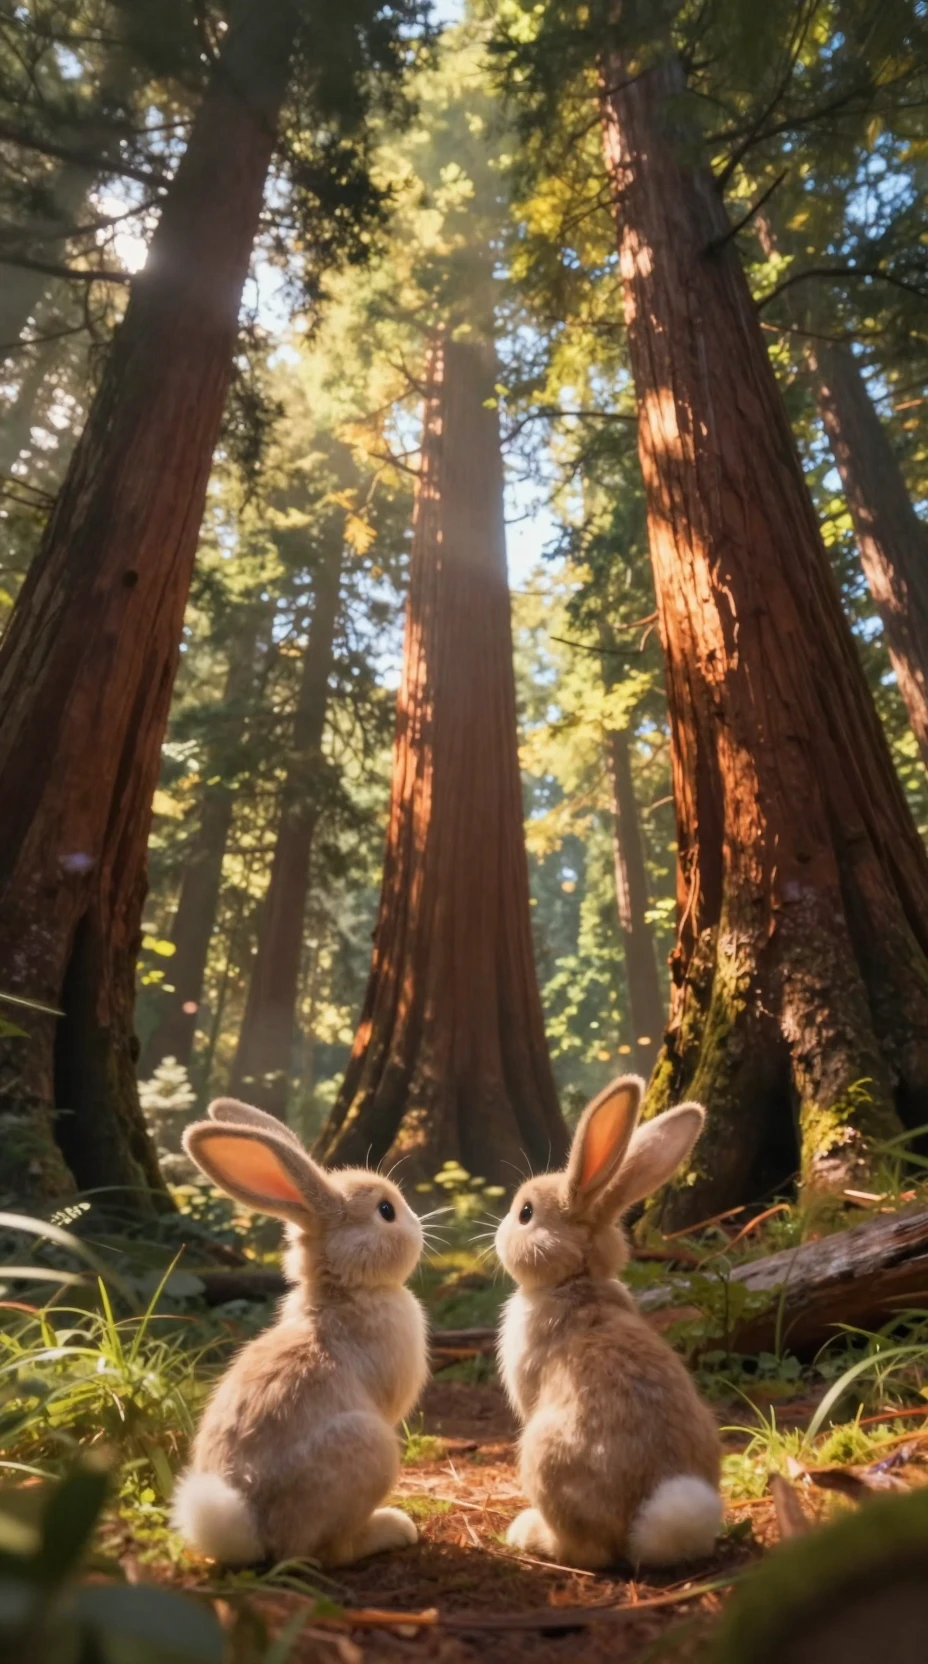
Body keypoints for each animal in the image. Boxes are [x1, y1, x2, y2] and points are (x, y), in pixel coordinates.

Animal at [171, 1097, 428, 1568]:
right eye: (385, 1211)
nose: (419, 1224)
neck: (343, 1290)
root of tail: (250, 1531)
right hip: (371, 1450)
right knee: (325, 1551)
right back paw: (393, 1529)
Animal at [494, 1074, 723, 1571]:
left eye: (526, 1213)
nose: (499, 1231)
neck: (574, 1280)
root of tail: (649, 1528)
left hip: (543, 1456)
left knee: (591, 1553)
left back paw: (530, 1534)